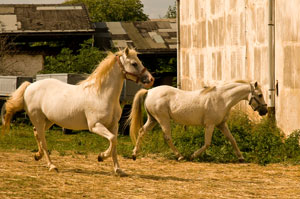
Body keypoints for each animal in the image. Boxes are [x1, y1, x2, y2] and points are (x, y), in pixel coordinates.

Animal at [2, 47, 155, 175]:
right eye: (134, 63)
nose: (150, 79)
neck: (101, 94)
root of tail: (30, 85)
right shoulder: (95, 126)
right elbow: (112, 139)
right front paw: (101, 156)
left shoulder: (114, 125)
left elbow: (115, 144)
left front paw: (118, 170)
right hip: (38, 119)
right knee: (43, 140)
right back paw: (52, 166)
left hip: (49, 121)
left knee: (36, 133)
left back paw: (37, 156)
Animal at [128, 80, 268, 162]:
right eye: (260, 95)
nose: (265, 111)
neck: (222, 98)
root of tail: (149, 91)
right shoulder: (210, 125)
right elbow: (207, 143)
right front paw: (193, 155)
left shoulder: (221, 124)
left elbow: (232, 139)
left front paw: (241, 157)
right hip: (163, 119)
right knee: (167, 137)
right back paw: (180, 156)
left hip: (153, 120)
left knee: (141, 132)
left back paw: (134, 154)